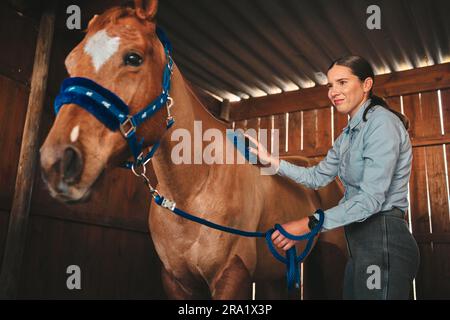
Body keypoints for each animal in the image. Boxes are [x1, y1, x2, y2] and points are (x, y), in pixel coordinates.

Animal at [39, 0, 344, 300]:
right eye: (70, 62)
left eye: (134, 58)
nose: (57, 162)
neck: (192, 190)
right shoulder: (176, 281)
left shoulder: (232, 275)